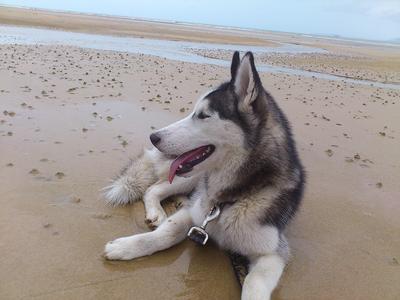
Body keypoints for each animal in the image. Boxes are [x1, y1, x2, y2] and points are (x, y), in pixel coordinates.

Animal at [104, 52, 306, 300]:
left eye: (203, 115)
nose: (154, 137)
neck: (229, 200)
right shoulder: (196, 214)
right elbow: (166, 233)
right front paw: (127, 246)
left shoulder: (274, 253)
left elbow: (254, 281)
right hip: (190, 177)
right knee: (154, 188)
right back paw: (157, 212)